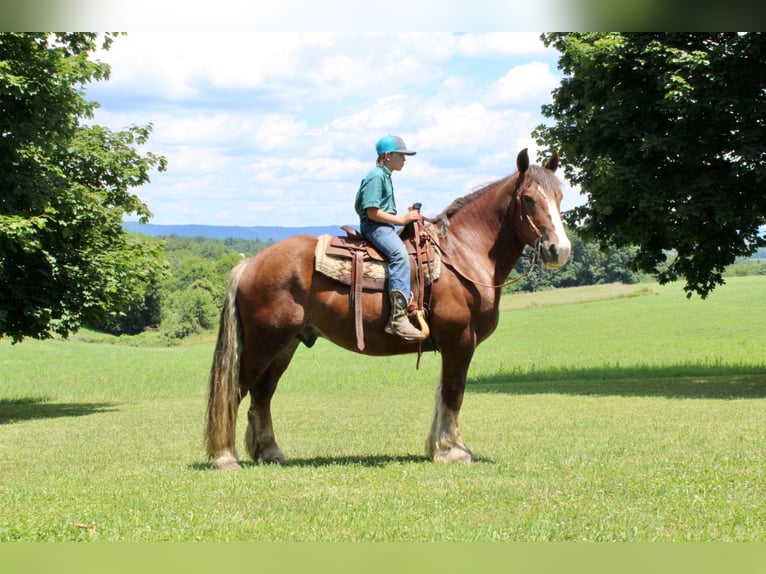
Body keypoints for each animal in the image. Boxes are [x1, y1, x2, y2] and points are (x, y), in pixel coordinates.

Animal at [204, 148, 568, 472]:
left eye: (560, 197)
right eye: (528, 199)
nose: (560, 250)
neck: (462, 254)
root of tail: (250, 264)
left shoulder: (452, 345)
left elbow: (443, 395)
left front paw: (439, 447)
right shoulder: (460, 341)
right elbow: (454, 394)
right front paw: (453, 451)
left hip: (285, 344)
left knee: (262, 395)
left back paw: (269, 452)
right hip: (263, 344)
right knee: (236, 391)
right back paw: (225, 457)